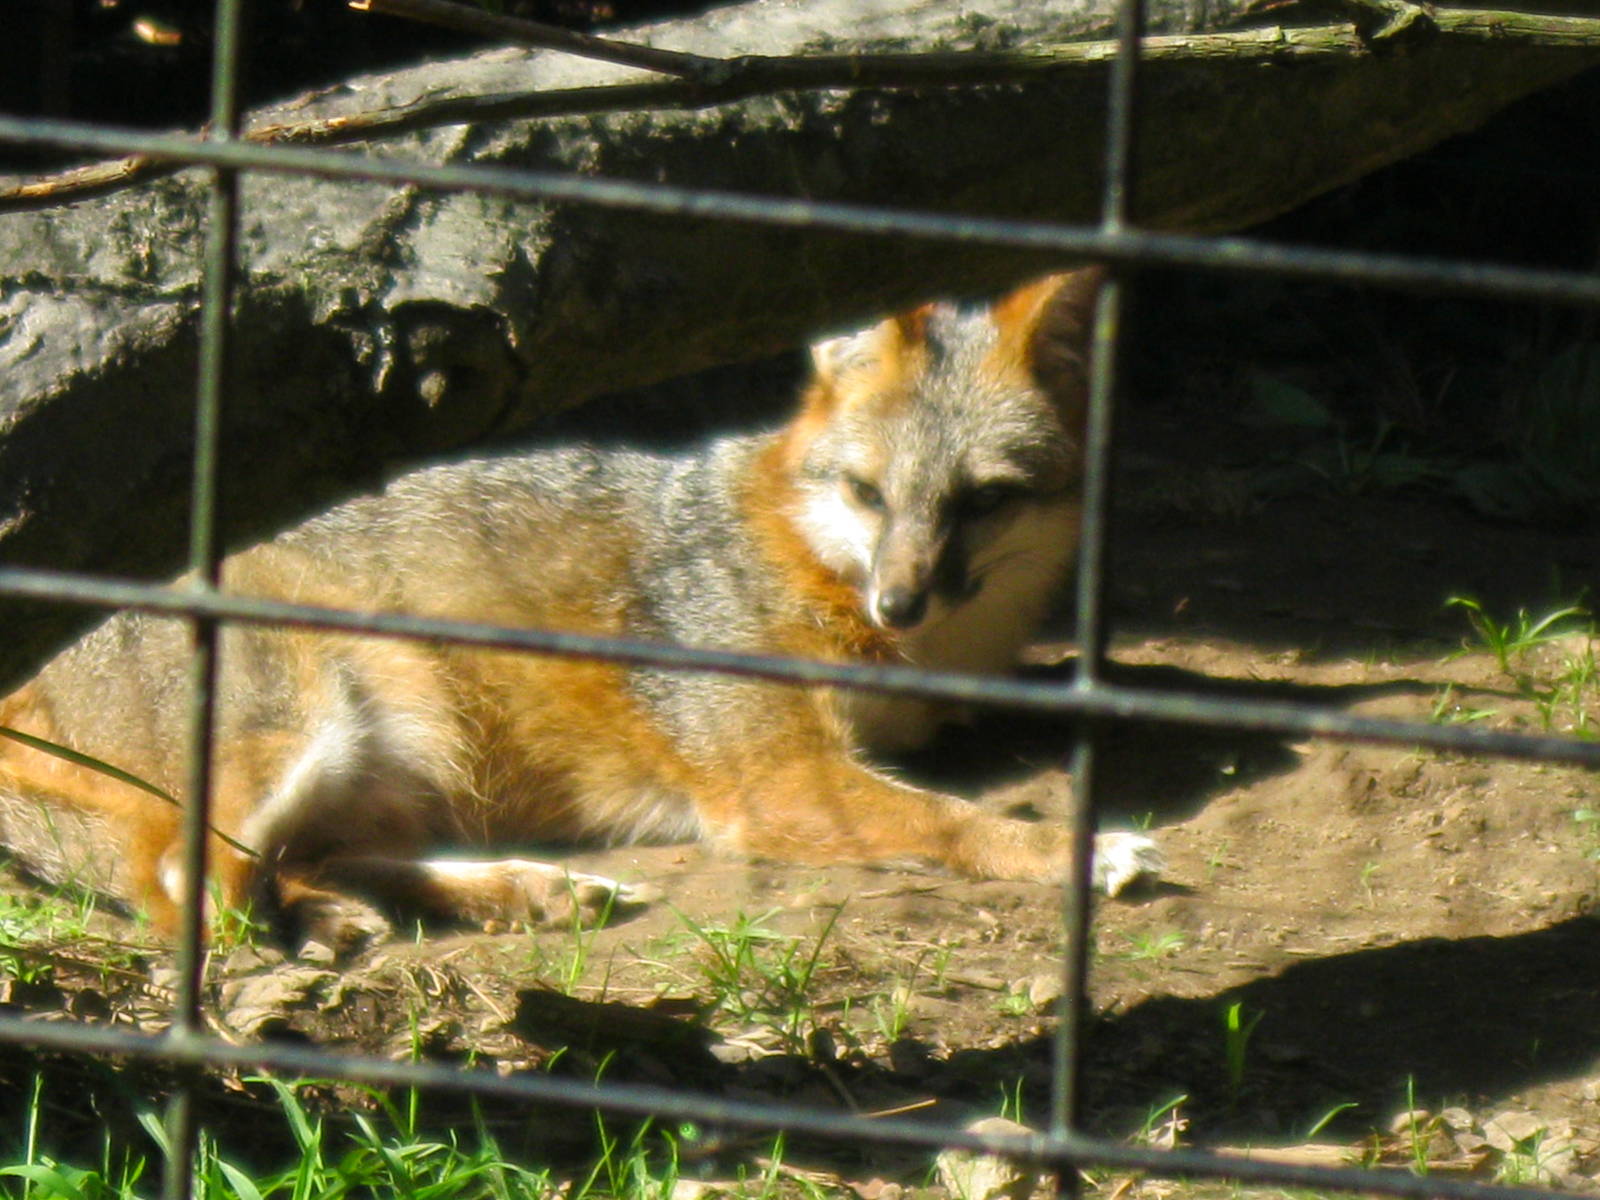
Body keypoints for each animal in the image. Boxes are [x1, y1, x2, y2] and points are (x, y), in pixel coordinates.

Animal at [0, 267, 1161, 942]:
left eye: (982, 499)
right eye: (868, 494)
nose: (900, 600)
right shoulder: (780, 782)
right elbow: (951, 820)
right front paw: (1078, 851)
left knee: (289, 866)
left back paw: (512, 892)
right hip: (310, 723)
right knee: (185, 888)